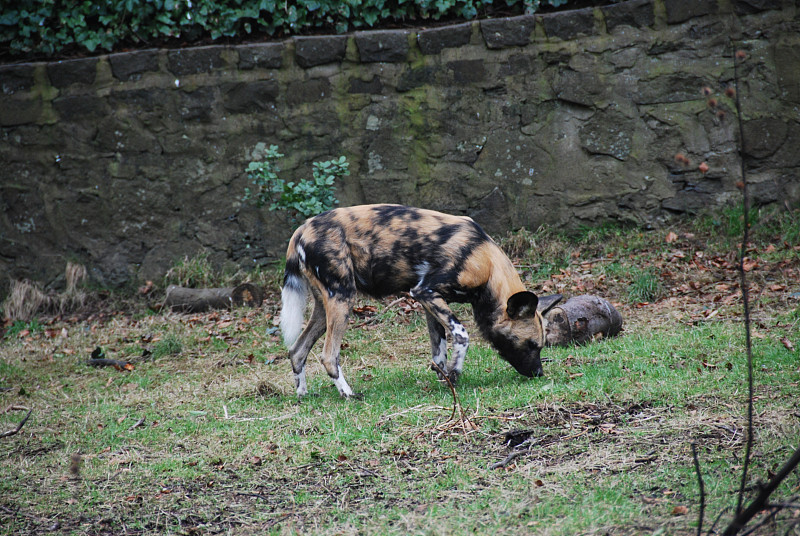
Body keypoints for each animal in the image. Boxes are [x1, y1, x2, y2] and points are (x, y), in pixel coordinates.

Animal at [282, 205, 564, 398]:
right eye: (531, 345)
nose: (539, 373)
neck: (484, 260)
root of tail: (300, 231)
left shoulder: (430, 303)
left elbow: (439, 353)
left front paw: (444, 380)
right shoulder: (425, 292)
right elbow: (462, 335)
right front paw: (455, 374)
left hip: (324, 307)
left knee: (297, 350)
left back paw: (303, 395)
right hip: (343, 299)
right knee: (329, 355)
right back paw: (349, 395)